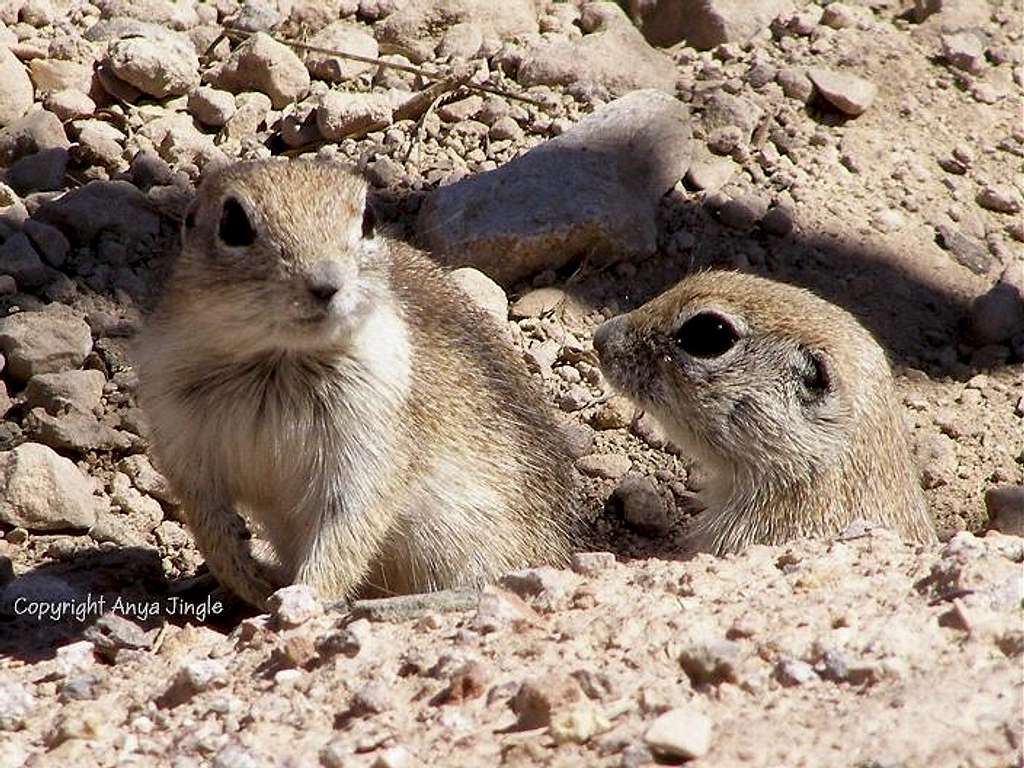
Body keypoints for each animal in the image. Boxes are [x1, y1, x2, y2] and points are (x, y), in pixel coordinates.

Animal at [136, 159, 581, 610]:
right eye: (233, 224)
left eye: (369, 220)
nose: (325, 284)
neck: (279, 360)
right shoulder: (182, 439)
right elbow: (207, 521)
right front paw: (248, 581)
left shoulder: (370, 448)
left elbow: (347, 529)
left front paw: (302, 597)